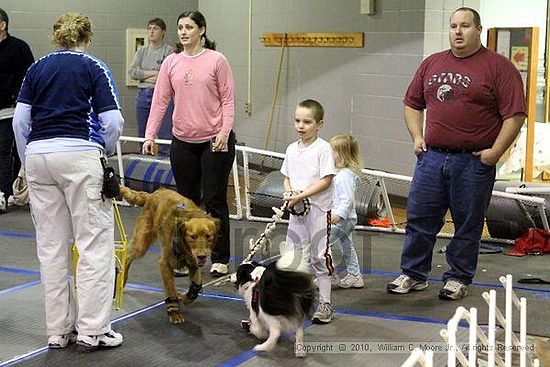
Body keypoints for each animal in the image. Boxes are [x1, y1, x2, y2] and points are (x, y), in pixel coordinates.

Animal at [122, 187, 221, 324]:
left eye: (208, 236)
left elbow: (196, 286)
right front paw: (174, 312)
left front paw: (186, 298)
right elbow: (170, 289)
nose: (202, 256)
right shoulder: (165, 263)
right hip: (141, 244)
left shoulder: (194, 264)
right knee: (127, 256)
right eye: (193, 236)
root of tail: (152, 194)